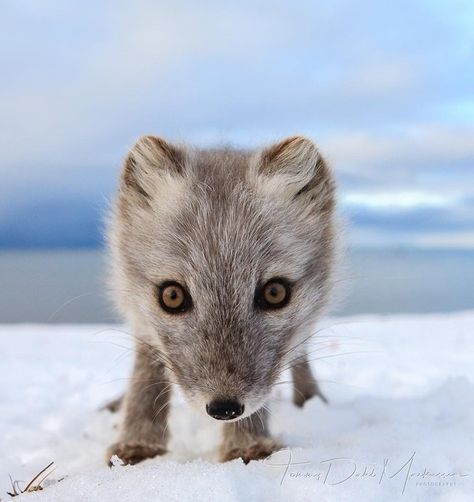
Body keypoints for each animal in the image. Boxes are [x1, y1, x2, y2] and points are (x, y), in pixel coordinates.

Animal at [107, 135, 336, 464]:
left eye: (275, 292)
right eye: (172, 296)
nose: (224, 409)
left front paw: (247, 445)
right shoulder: (141, 322)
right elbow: (146, 377)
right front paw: (139, 443)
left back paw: (310, 399)